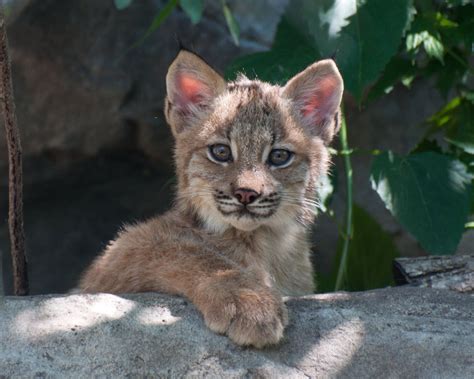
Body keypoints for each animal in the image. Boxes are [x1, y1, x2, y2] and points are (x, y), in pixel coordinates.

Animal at [79, 49, 342, 348]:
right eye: (221, 152)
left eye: (279, 156)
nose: (246, 194)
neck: (263, 241)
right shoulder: (112, 261)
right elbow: (187, 250)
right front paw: (249, 300)